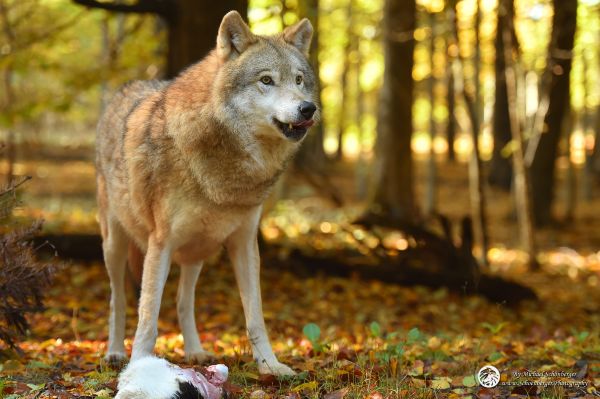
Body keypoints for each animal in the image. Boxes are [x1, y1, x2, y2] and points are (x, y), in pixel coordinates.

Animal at [96, 10, 318, 376]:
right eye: (266, 80)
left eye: (299, 80)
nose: (308, 108)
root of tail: (123, 89)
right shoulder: (161, 242)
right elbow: (148, 315)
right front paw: (140, 364)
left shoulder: (245, 243)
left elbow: (255, 316)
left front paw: (270, 366)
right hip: (115, 245)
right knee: (119, 299)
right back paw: (114, 352)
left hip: (196, 252)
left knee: (182, 300)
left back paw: (196, 352)